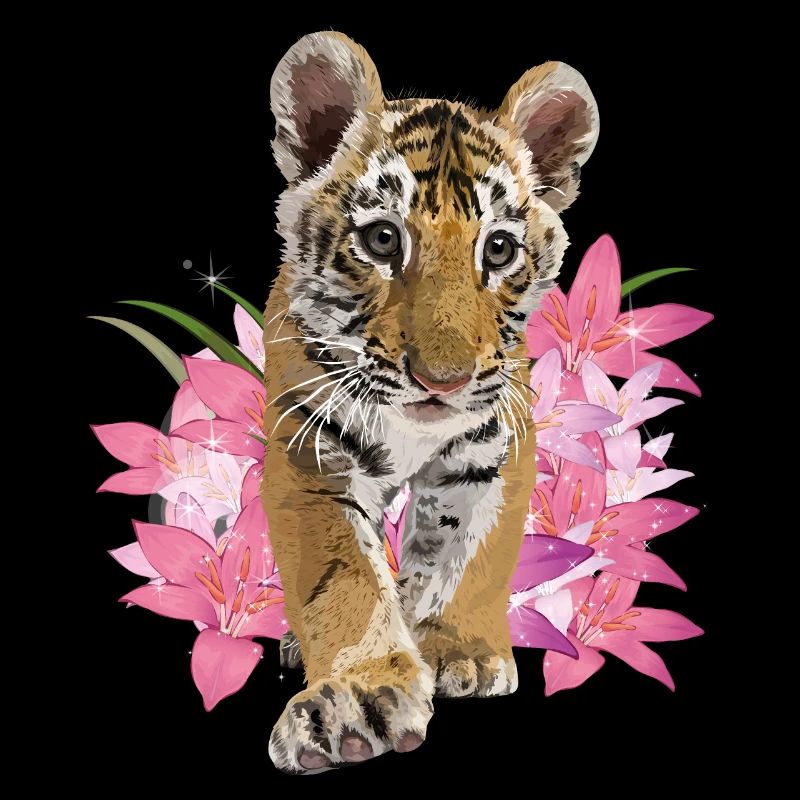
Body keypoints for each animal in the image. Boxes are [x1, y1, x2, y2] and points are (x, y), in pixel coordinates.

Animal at [262, 31, 598, 773]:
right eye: (383, 239)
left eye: (497, 249)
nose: (442, 381)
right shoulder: (310, 453)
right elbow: (346, 577)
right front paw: (357, 699)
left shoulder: (494, 446)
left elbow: (467, 554)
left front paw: (459, 651)